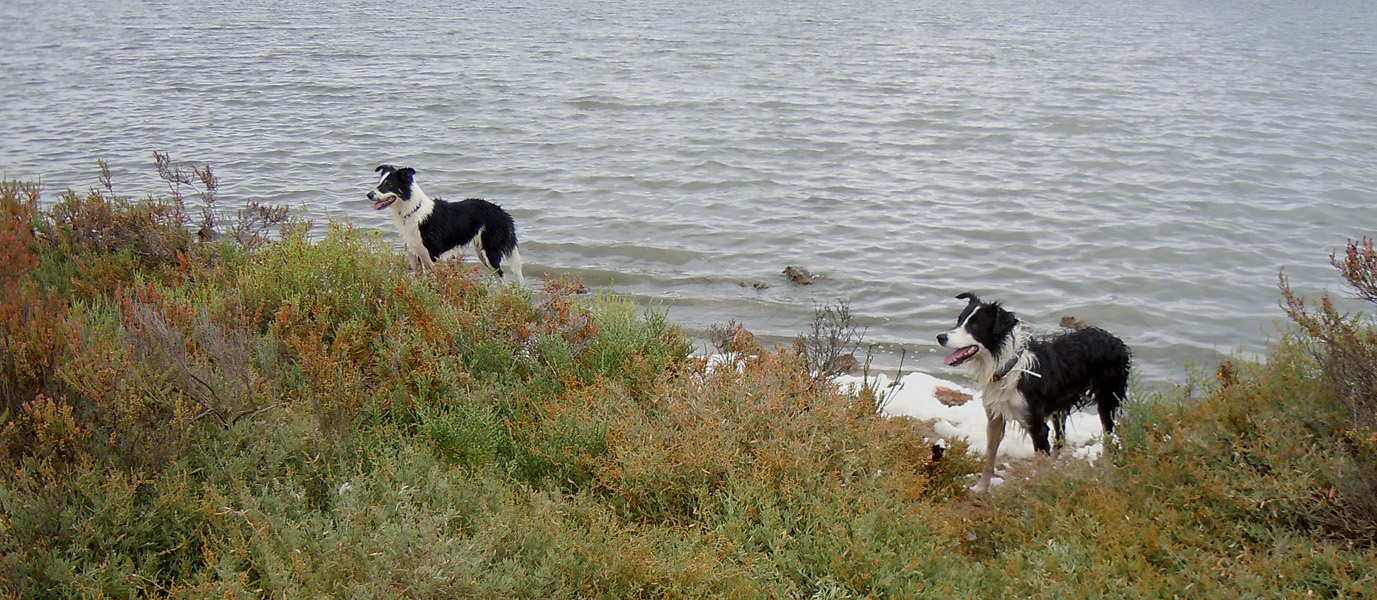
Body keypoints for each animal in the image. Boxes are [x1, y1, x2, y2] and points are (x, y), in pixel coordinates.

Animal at [369, 163, 523, 286]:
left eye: (389, 184)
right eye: (379, 182)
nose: (369, 195)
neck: (413, 210)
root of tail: (501, 212)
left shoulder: (433, 255)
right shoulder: (417, 256)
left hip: (490, 251)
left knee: (501, 275)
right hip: (481, 252)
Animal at [936, 293, 1129, 495]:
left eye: (974, 326)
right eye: (959, 320)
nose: (940, 337)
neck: (1007, 368)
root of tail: (1114, 339)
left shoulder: (1036, 425)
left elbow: (1040, 467)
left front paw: (1039, 491)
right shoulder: (995, 418)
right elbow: (990, 456)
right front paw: (981, 488)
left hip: (1107, 398)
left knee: (1108, 436)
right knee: (1061, 438)